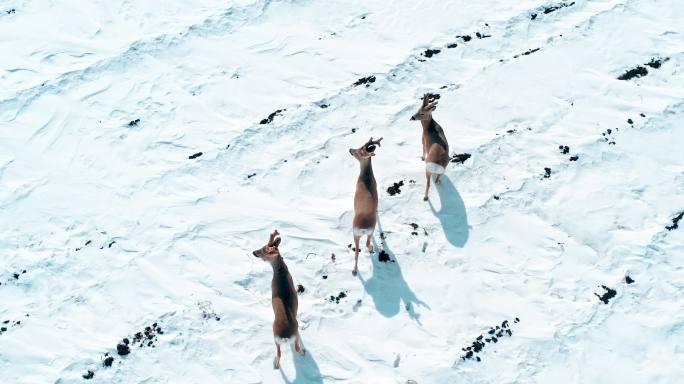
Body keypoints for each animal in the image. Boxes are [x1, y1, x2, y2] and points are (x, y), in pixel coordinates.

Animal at [252, 230, 304, 370]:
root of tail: (285, 336)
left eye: (263, 250)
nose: (253, 252)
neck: (280, 273)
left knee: (281, 352)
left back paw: (275, 364)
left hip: (275, 336)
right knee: (295, 348)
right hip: (292, 334)